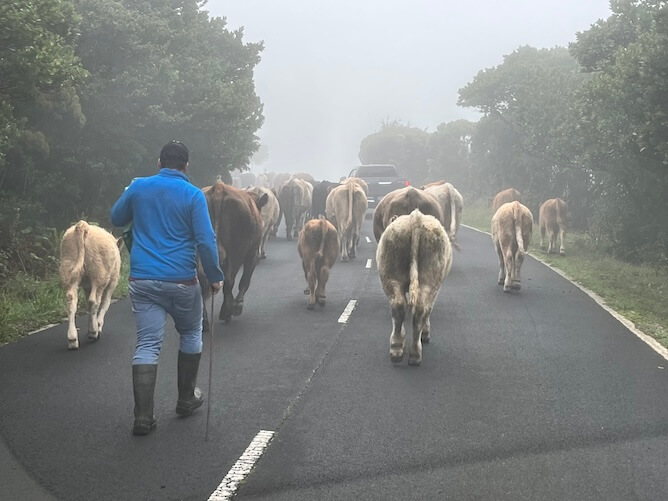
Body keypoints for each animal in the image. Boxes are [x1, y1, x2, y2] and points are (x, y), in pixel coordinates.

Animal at [59, 221, 121, 350]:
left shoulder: (87, 286)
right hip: (100, 274)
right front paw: (98, 324)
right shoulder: (112, 284)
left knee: (71, 300)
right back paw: (93, 332)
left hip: (68, 267)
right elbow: (105, 303)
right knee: (94, 301)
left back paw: (72, 339)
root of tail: (83, 225)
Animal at [200, 181, 268, 324]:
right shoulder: (253, 254)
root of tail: (219, 188)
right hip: (237, 250)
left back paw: (204, 320)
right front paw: (237, 305)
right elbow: (245, 280)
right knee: (230, 280)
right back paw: (226, 312)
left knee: (202, 280)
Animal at [376, 209, 454, 366]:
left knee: (402, 306)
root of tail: (416, 217)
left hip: (393, 278)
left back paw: (400, 349)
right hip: (428, 281)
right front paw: (426, 333)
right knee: (419, 309)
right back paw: (412, 351)